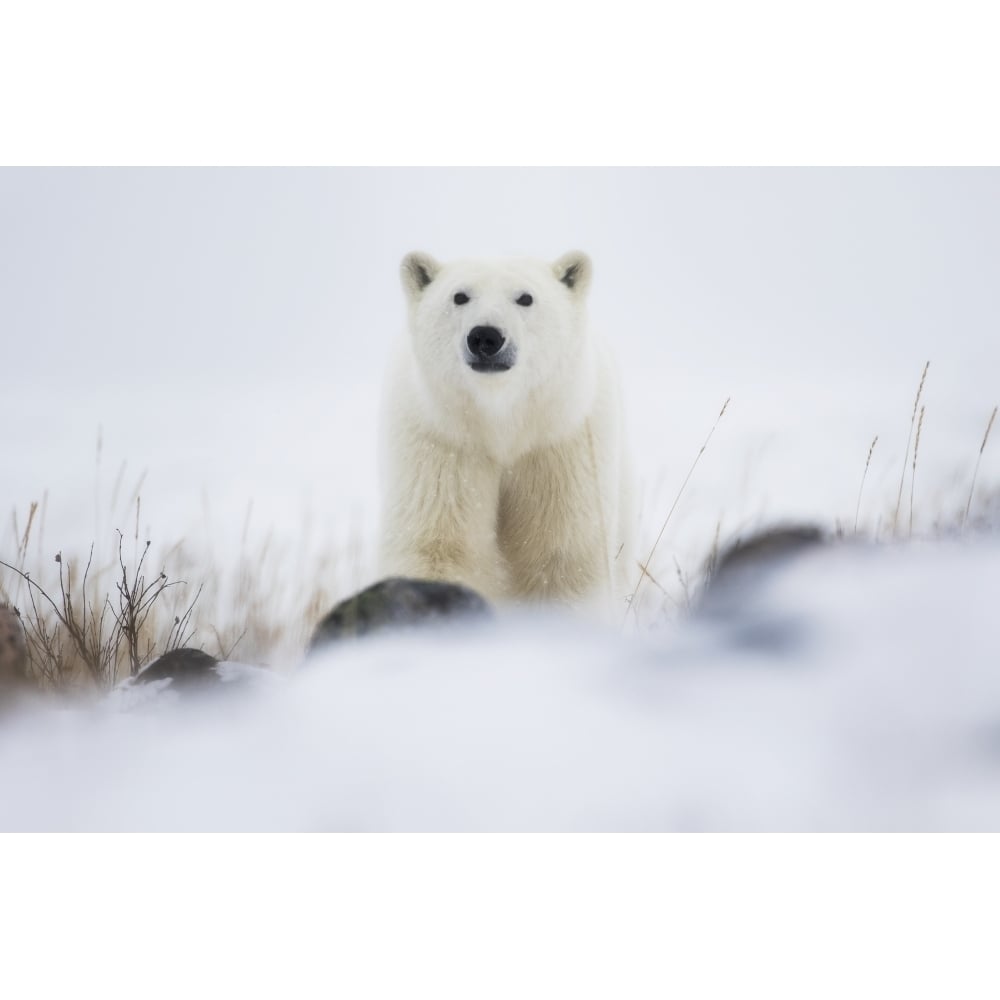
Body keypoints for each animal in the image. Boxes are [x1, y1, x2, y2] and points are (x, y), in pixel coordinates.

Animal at [378, 250, 636, 608]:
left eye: (525, 297)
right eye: (460, 296)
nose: (486, 337)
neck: (501, 422)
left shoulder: (560, 443)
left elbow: (560, 557)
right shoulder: (443, 443)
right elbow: (440, 546)